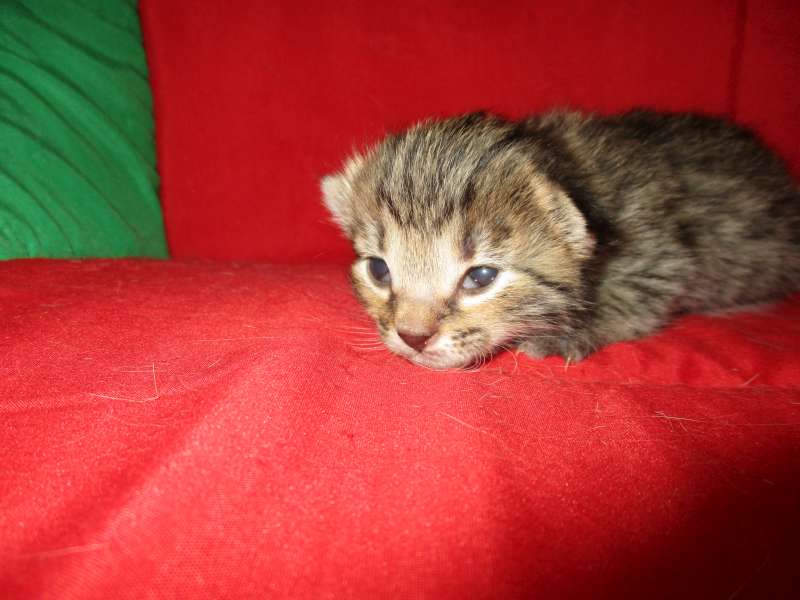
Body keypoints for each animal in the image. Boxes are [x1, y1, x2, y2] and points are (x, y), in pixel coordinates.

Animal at [321, 109, 800, 369]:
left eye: (481, 277)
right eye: (379, 269)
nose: (413, 337)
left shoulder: (661, 254)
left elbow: (630, 298)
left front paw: (571, 333)